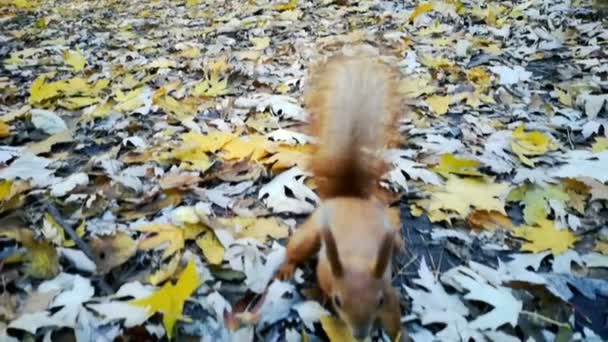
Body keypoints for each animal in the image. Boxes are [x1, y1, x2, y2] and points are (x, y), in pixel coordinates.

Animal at [280, 54, 406, 340]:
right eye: (338, 301)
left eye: (379, 301)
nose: (360, 334)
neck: (358, 258)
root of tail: (348, 197)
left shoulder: (388, 290)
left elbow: (395, 318)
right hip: (312, 231)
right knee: (296, 247)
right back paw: (286, 268)